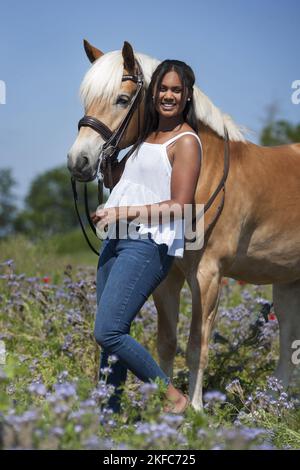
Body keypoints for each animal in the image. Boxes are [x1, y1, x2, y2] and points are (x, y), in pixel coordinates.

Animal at [67, 39, 300, 412]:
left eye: (122, 99)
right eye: (86, 99)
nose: (79, 162)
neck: (205, 170)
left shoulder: (208, 275)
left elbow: (196, 347)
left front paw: (196, 410)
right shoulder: (167, 278)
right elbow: (167, 342)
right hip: (288, 280)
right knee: (288, 342)